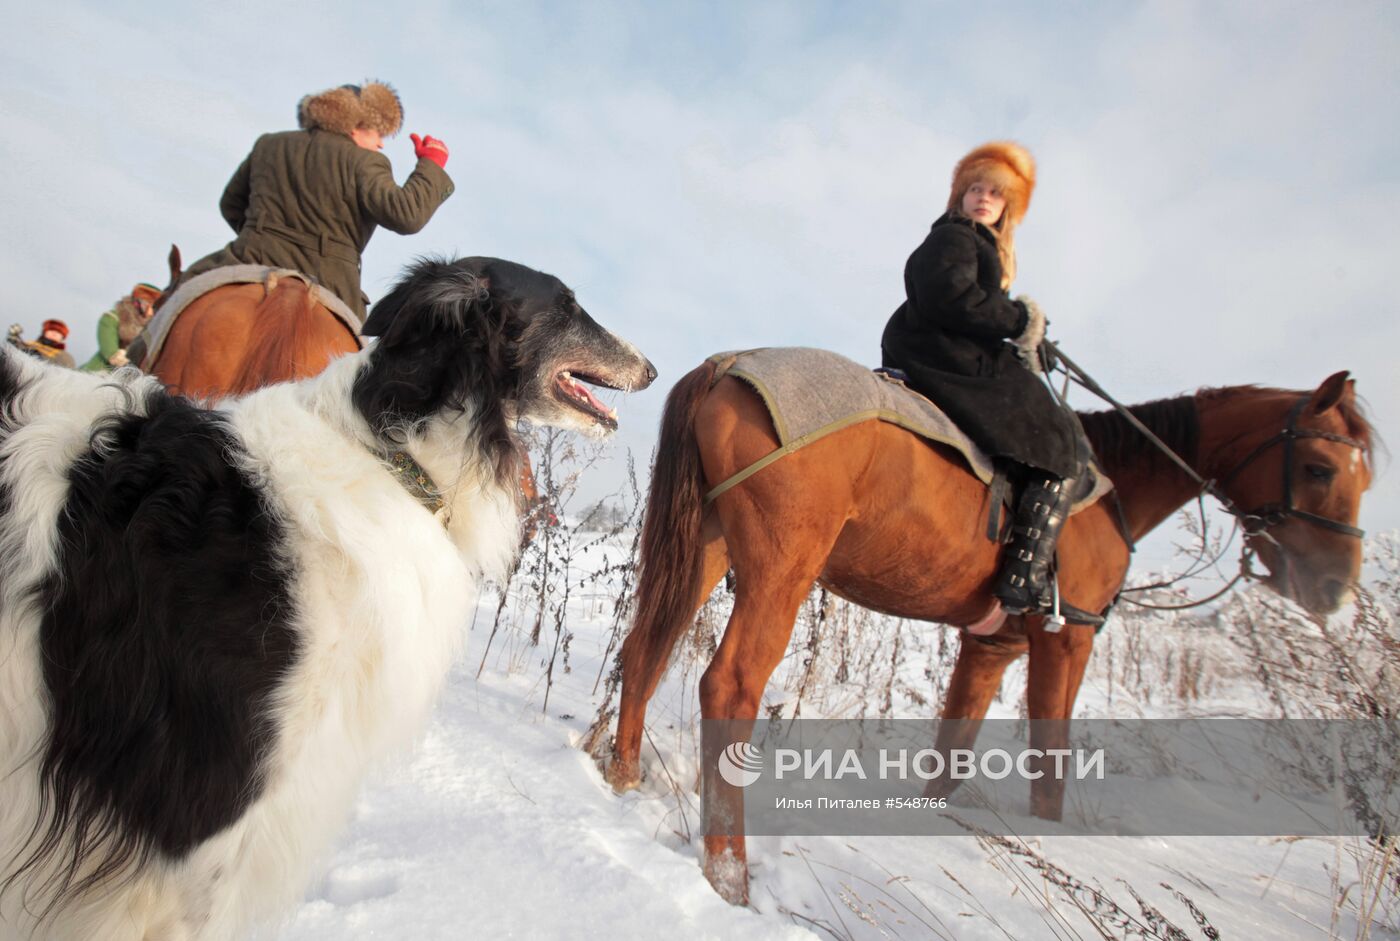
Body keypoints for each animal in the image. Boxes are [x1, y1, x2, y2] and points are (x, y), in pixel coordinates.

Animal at [607, 354, 1372, 901]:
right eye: (1318, 466)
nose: (1334, 587)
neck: (1113, 491)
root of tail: (728, 364)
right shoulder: (1068, 639)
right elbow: (1050, 761)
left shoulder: (989, 645)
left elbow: (952, 752)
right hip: (779, 570)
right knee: (730, 686)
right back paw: (728, 871)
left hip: (704, 550)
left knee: (645, 650)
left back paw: (621, 776)